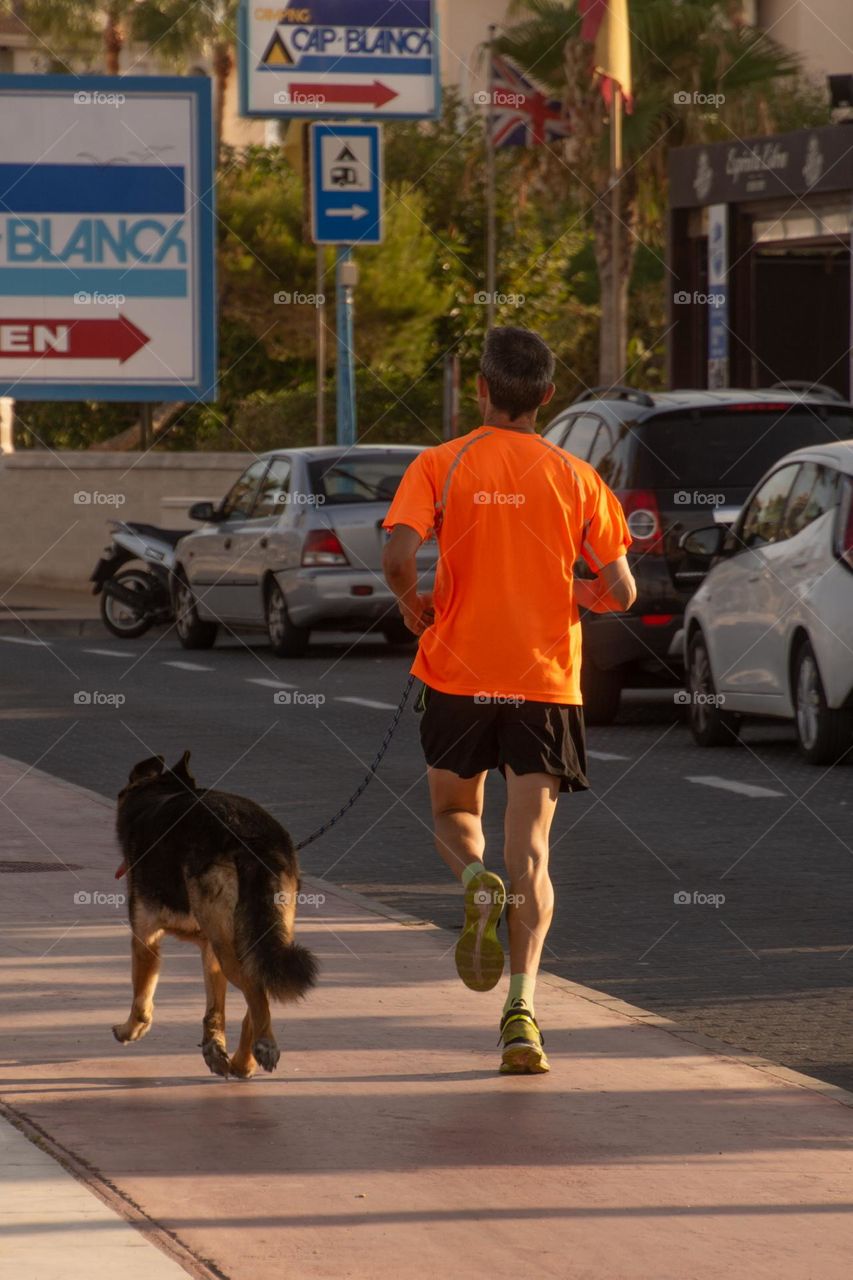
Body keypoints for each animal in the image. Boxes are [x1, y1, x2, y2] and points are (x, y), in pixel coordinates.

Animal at [111, 747, 313, 1080]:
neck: (160, 791)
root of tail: (251, 837)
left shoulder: (145, 937)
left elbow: (142, 999)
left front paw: (131, 1030)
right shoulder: (209, 949)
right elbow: (214, 1010)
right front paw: (214, 1049)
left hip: (230, 945)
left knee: (255, 987)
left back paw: (265, 1045)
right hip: (251, 935)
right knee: (257, 989)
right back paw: (245, 1061)